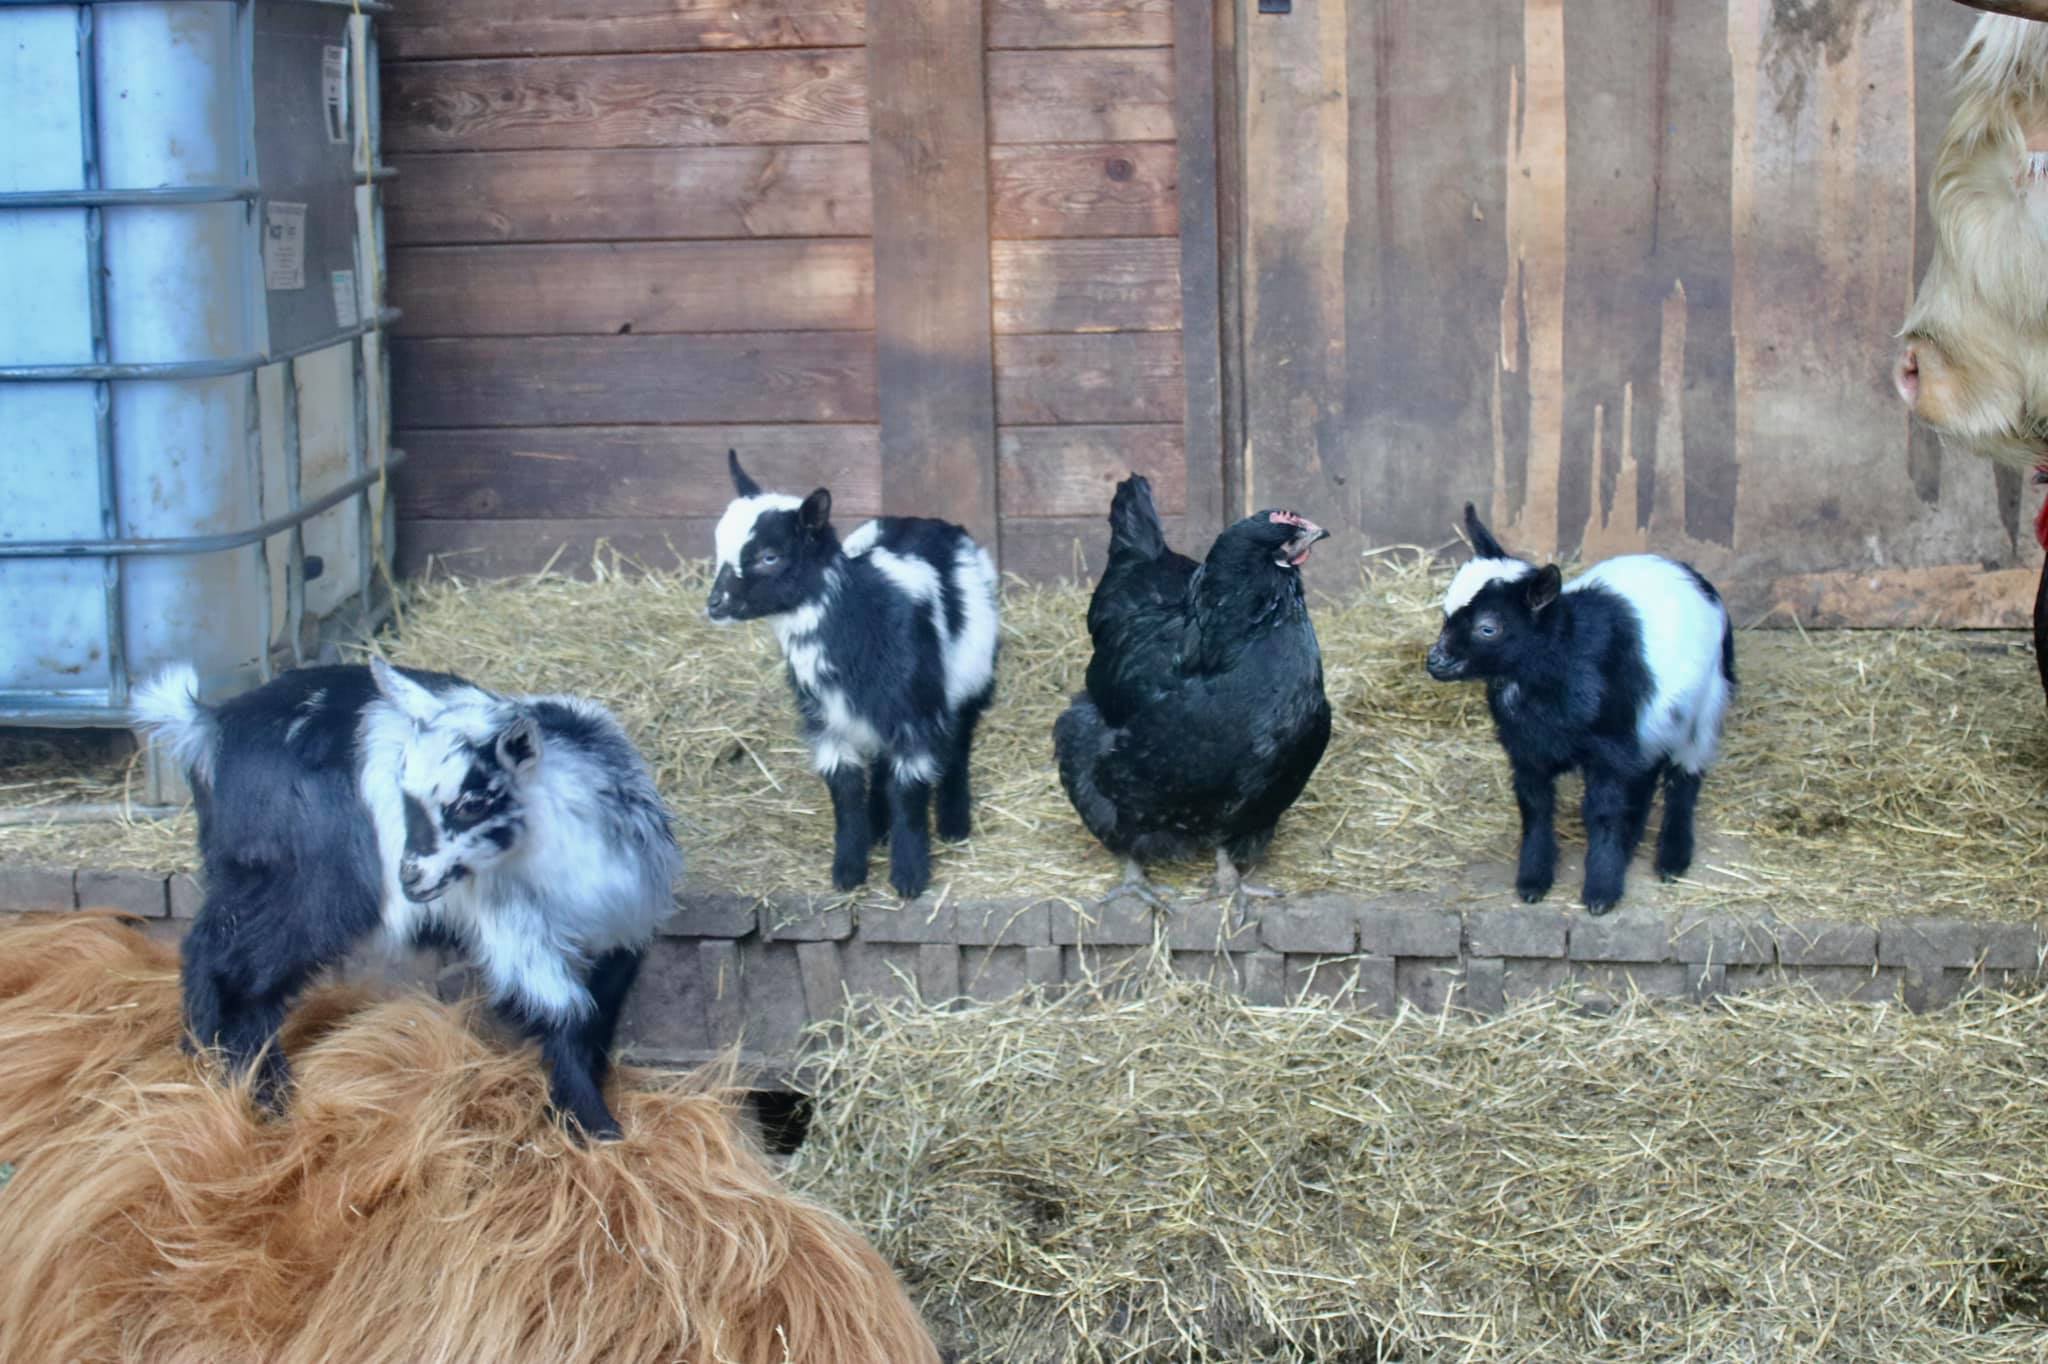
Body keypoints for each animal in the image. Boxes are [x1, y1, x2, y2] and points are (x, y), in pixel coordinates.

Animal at [134, 656, 681, 1139]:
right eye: (404, 792)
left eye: (472, 802)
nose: (410, 878)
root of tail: (211, 726)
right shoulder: (515, 931)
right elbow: (567, 1011)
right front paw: (595, 1126)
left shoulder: (624, 925)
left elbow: (602, 1010)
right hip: (309, 887)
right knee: (241, 971)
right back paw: (264, 1093)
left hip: (246, 874)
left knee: (207, 944)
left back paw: (206, 1059)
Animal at [707, 450, 999, 900]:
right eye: (720, 545)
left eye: (770, 556)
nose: (715, 603)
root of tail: (927, 520)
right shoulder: (827, 721)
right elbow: (844, 792)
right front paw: (848, 870)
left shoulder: (915, 713)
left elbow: (909, 792)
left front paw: (910, 876)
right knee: (880, 762)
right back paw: (878, 826)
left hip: (972, 672)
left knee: (959, 742)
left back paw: (953, 822)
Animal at [1424, 505, 1735, 915]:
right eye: (1446, 612)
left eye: (1488, 628)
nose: (1435, 661)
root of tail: (1694, 576)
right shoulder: (1526, 749)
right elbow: (1535, 808)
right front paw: (1534, 880)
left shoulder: (1609, 748)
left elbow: (1602, 813)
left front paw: (1601, 891)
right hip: (1649, 721)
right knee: (1647, 772)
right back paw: (1633, 840)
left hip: (1705, 705)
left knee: (1685, 777)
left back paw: (1672, 857)